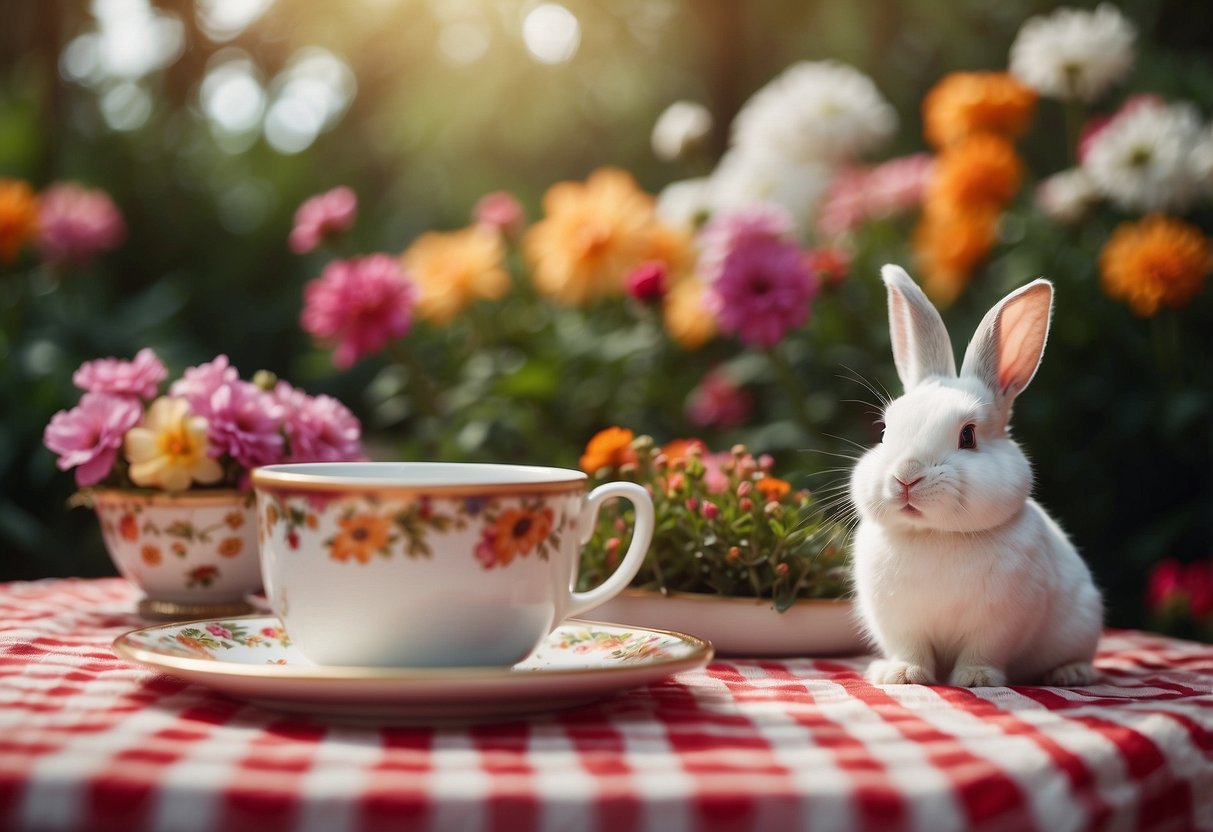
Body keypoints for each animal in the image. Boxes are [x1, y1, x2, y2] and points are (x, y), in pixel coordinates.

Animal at [849, 264, 1106, 688]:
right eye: (885, 431)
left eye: (967, 436)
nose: (906, 477)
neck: (936, 536)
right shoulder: (901, 624)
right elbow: (911, 650)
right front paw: (902, 675)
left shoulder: (999, 624)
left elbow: (982, 651)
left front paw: (975, 680)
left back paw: (1071, 673)